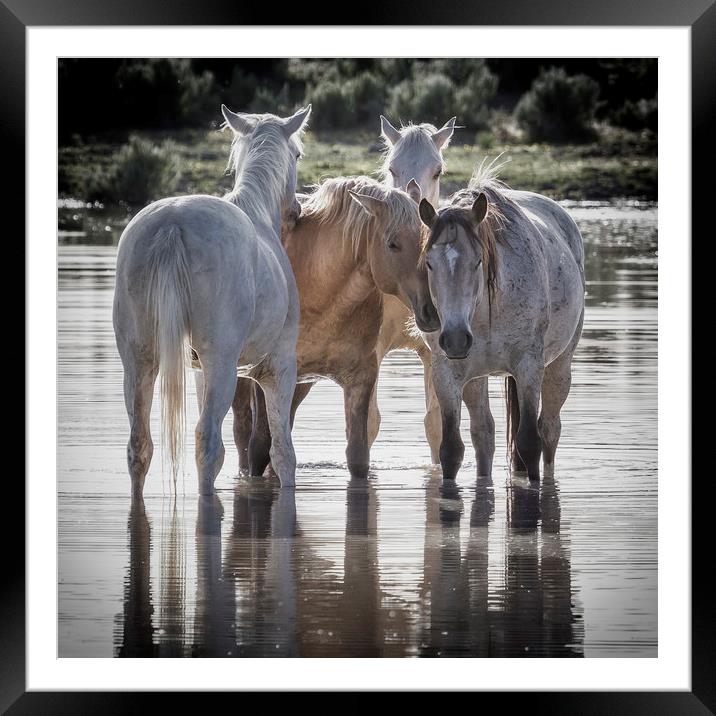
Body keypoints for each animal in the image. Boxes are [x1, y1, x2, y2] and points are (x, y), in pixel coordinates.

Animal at [113, 105, 310, 498]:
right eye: (297, 154)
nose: (297, 209)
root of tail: (172, 225)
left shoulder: (199, 370)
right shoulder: (279, 367)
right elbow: (283, 454)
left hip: (138, 361)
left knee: (139, 446)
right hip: (221, 364)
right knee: (208, 444)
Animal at [235, 178, 440, 482]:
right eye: (392, 243)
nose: (432, 311)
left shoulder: (360, 378)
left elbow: (357, 454)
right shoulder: (266, 375)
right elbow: (259, 448)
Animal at [416, 164, 584, 482]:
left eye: (478, 261)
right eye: (429, 264)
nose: (455, 339)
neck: (484, 314)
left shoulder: (529, 367)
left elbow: (529, 442)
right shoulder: (446, 374)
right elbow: (451, 449)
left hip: (558, 367)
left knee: (549, 431)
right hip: (475, 377)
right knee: (484, 434)